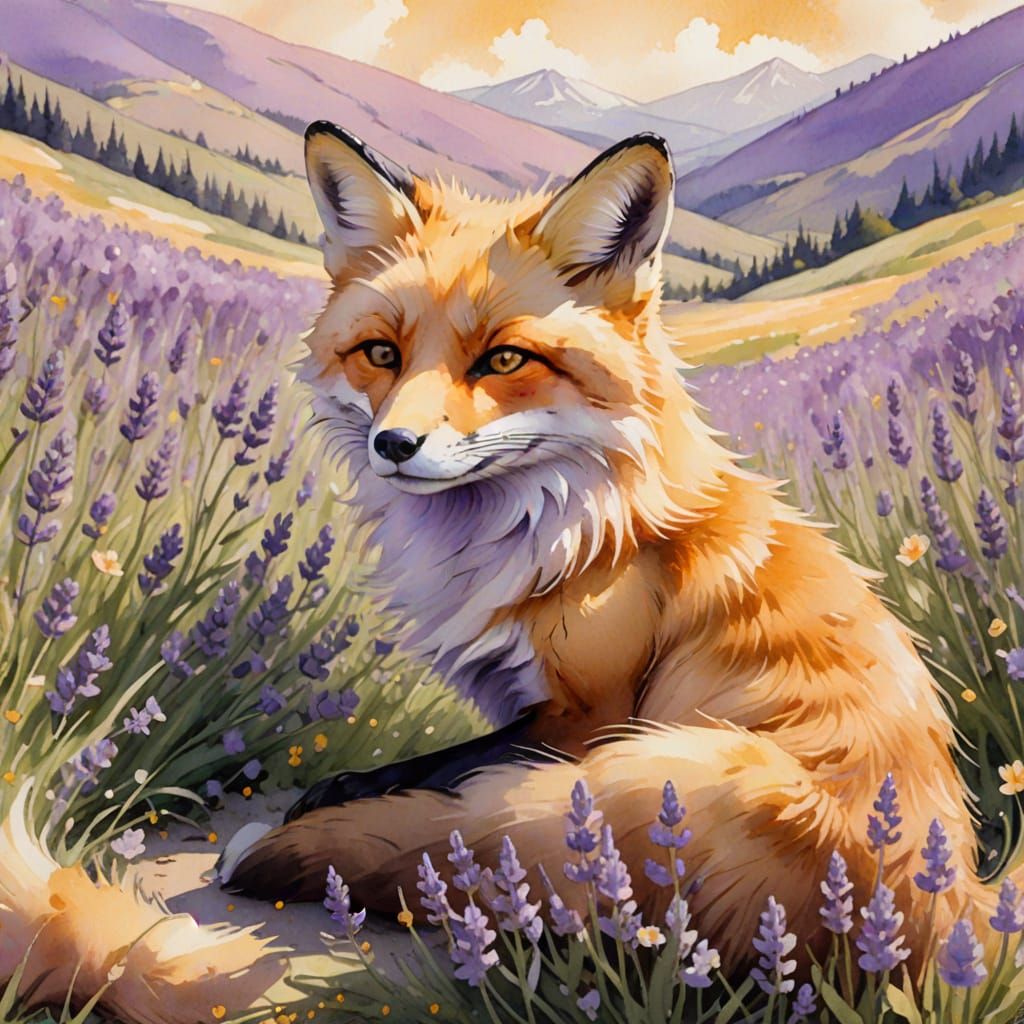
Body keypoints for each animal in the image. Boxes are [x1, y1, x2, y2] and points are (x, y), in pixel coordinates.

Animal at [220, 121, 1017, 969]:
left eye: (504, 359)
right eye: (380, 353)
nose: (394, 444)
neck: (547, 529)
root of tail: (949, 910)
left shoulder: (585, 713)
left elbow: (433, 771)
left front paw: (333, 796)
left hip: (662, 766)